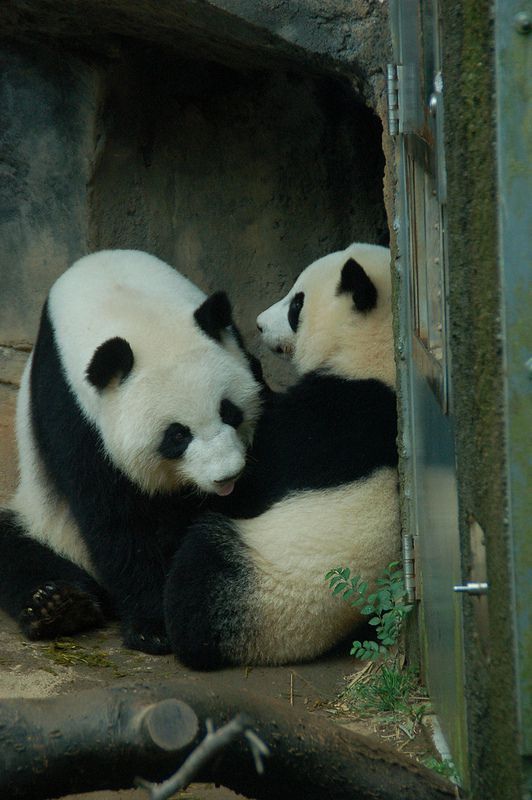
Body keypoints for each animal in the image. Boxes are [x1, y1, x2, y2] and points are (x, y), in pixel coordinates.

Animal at [0, 252, 262, 656]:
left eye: (229, 411)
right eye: (176, 435)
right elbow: (116, 520)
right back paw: (57, 605)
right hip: (44, 519)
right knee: (17, 549)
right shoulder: (72, 409)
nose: (226, 475)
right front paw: (154, 627)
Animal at [165, 242, 400, 668]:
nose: (259, 325)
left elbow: (254, 478)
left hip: (265, 593)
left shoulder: (330, 417)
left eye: (297, 304)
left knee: (204, 567)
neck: (375, 351)